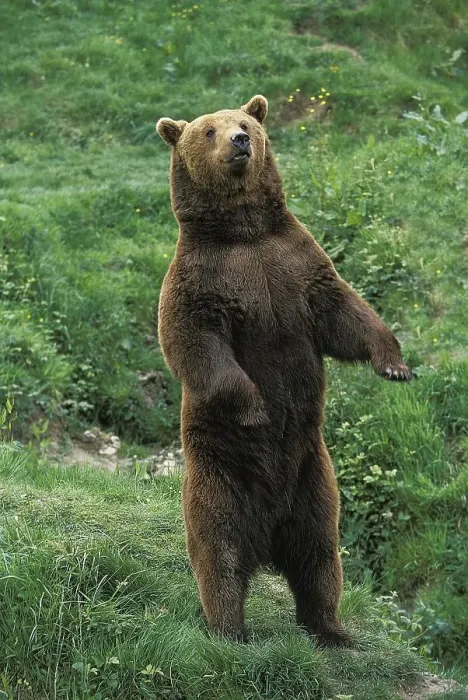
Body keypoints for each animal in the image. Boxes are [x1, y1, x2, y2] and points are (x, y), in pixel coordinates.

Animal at [156, 95, 412, 647]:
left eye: (246, 123)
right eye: (207, 131)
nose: (240, 141)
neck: (245, 231)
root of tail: (267, 538)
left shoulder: (296, 265)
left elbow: (344, 311)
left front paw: (395, 364)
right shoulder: (202, 279)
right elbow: (195, 341)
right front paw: (255, 407)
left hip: (314, 479)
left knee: (319, 554)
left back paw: (332, 629)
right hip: (219, 474)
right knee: (219, 553)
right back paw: (229, 629)